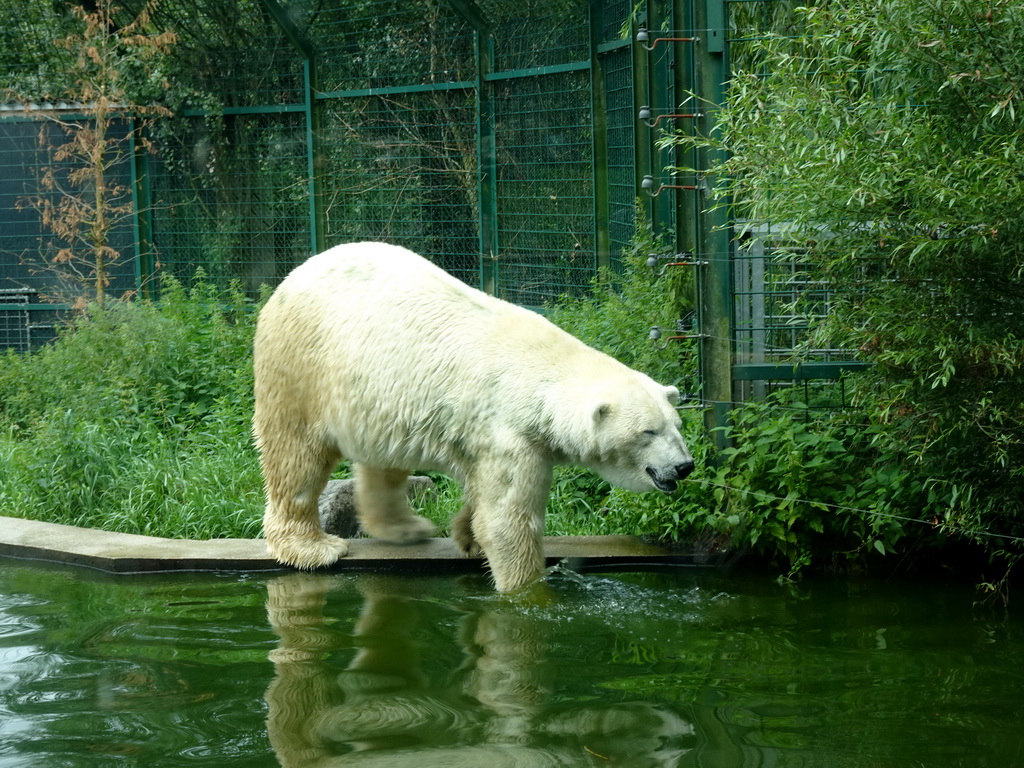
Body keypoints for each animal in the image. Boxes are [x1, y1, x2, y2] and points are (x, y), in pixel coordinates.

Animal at [251, 243, 692, 593]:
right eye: (648, 431)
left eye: (677, 425)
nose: (684, 466)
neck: (541, 373)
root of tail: (293, 275)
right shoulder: (509, 432)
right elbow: (508, 521)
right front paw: (525, 590)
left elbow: (483, 496)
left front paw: (468, 536)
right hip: (302, 365)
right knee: (296, 456)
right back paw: (312, 547)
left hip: (378, 393)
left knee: (384, 458)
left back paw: (404, 527)